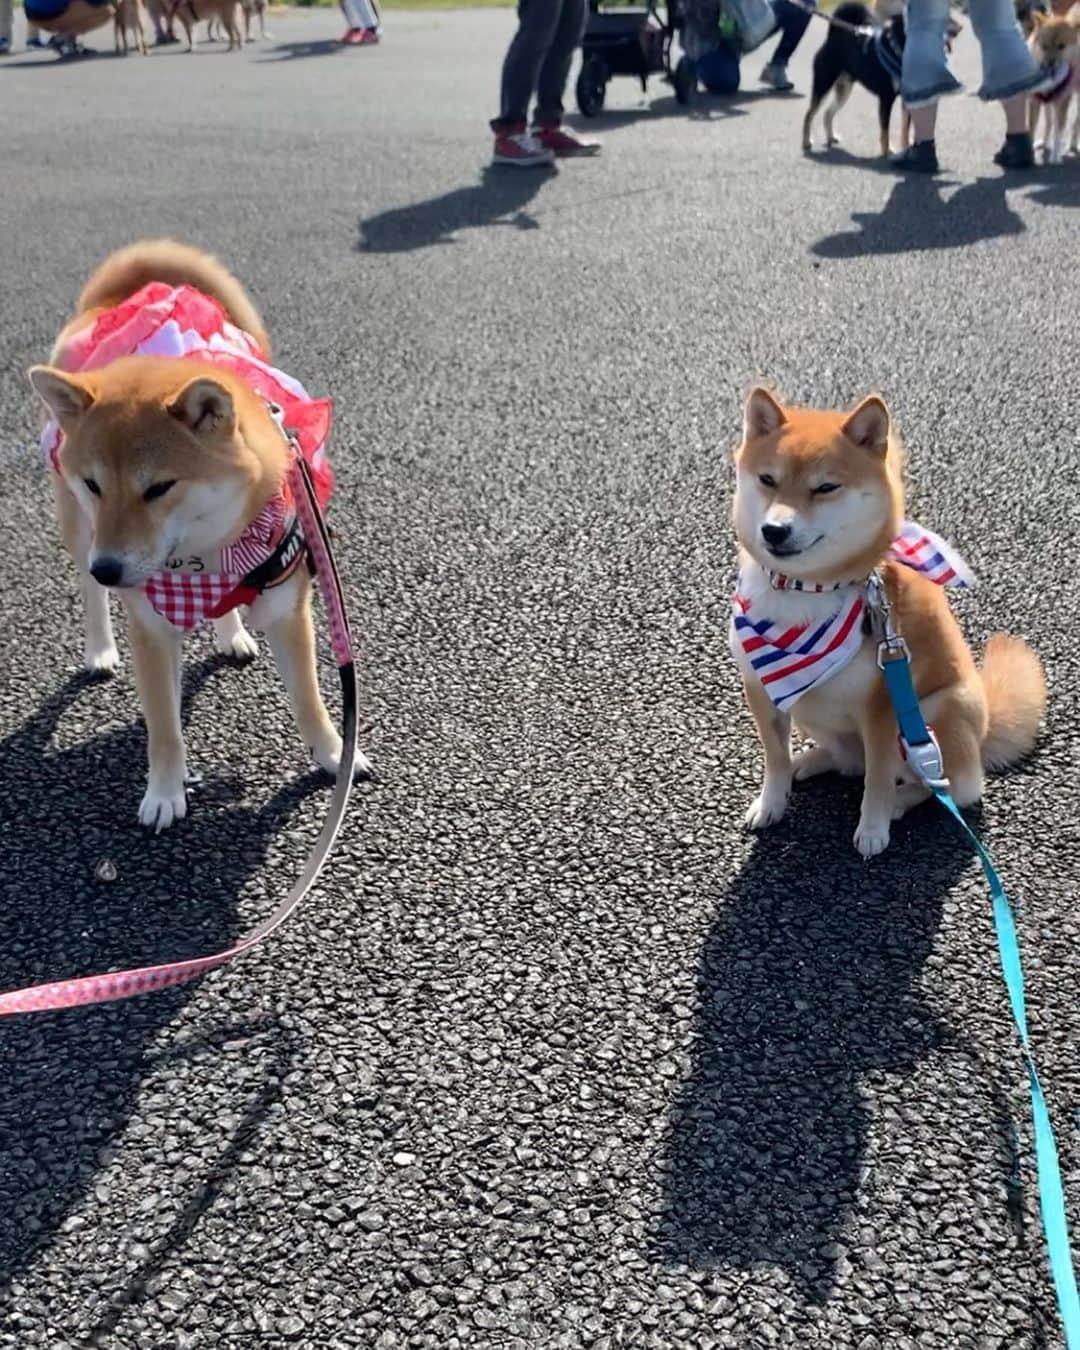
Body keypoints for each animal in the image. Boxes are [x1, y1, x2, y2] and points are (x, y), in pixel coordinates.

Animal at [729, 386, 1042, 858]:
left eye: (825, 487)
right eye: (768, 480)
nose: (774, 530)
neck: (808, 590)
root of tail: (984, 733)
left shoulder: (881, 708)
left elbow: (877, 779)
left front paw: (873, 827)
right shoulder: (761, 688)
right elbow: (775, 757)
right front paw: (771, 802)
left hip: (937, 712)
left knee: (948, 786)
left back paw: (900, 800)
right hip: (814, 714)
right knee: (850, 763)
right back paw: (812, 760)